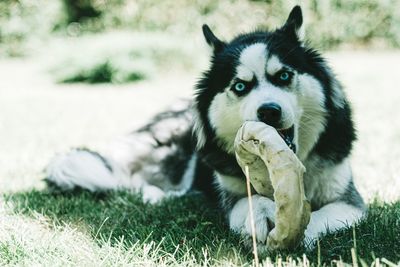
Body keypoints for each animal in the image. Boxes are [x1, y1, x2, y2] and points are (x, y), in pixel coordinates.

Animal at [47, 5, 366, 249]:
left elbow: (325, 215)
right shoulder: (231, 195)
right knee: (138, 181)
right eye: (240, 86)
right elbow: (245, 203)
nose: (269, 111)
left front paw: (301, 232)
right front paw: (261, 215)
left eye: (284, 76)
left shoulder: (350, 202)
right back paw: (156, 195)